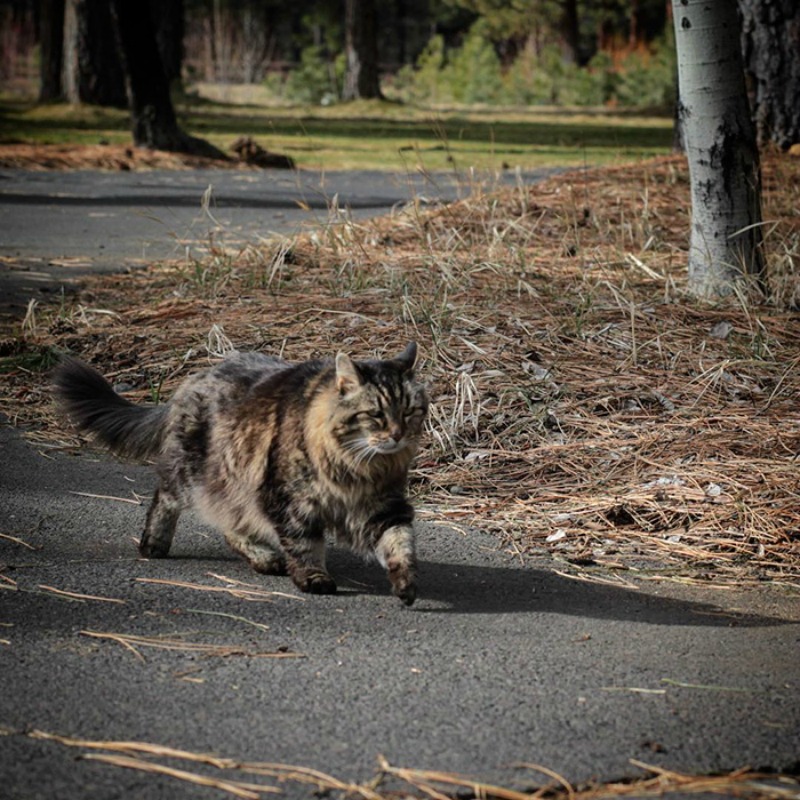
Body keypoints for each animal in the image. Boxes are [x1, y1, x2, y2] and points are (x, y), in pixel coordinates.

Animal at [53, 344, 428, 608]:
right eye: (376, 415)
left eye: (409, 411)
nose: (398, 435)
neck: (358, 468)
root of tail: (195, 378)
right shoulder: (288, 500)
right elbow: (305, 544)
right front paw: (313, 578)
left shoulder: (383, 506)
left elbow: (400, 542)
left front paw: (406, 583)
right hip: (197, 475)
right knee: (166, 497)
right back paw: (154, 544)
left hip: (236, 487)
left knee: (232, 529)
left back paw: (265, 559)